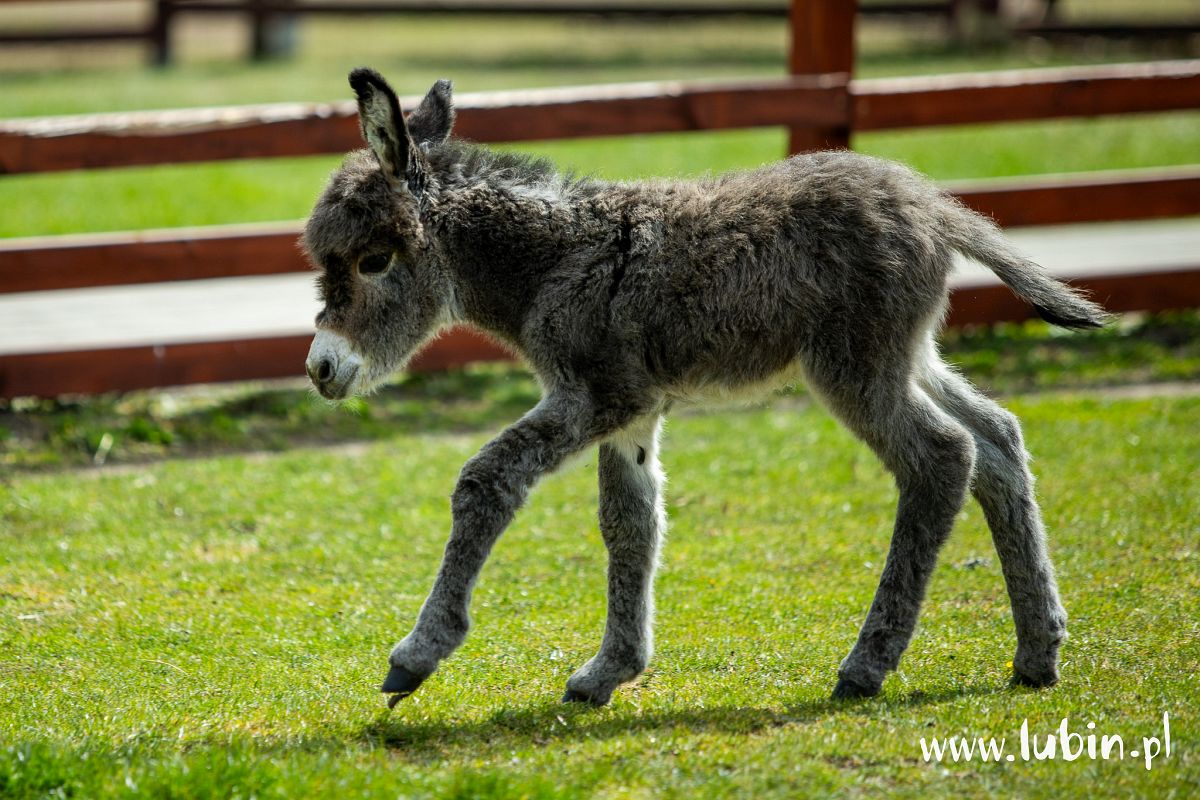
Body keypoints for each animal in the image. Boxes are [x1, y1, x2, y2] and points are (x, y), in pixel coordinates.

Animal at [302, 67, 1104, 705]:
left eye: (373, 261)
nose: (320, 368)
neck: (553, 262)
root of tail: (935, 204)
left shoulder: (597, 396)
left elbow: (486, 481)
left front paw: (418, 654)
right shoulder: (631, 412)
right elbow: (630, 523)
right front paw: (611, 670)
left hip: (854, 366)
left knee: (941, 458)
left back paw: (867, 666)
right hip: (911, 356)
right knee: (996, 438)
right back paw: (1038, 651)